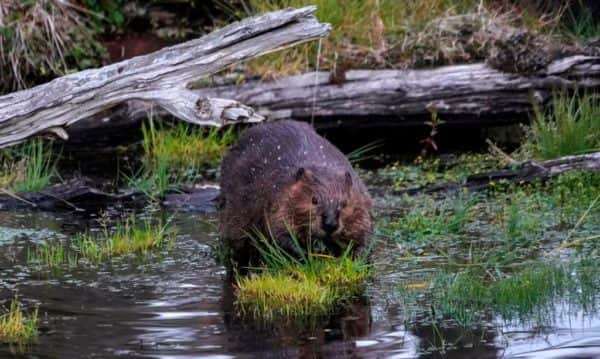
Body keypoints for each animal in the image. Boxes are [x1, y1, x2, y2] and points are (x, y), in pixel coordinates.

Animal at [218, 121, 372, 264]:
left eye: (344, 203)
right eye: (314, 200)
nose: (330, 224)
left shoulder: (360, 198)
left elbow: (361, 233)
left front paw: (356, 255)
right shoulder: (278, 198)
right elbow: (279, 232)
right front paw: (306, 254)